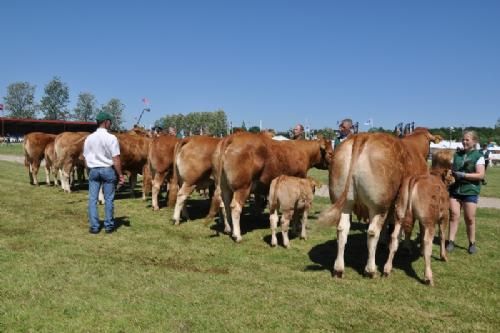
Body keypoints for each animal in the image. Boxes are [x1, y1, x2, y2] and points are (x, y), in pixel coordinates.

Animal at [318, 127, 440, 278]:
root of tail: (363, 136)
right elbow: (409, 226)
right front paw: (407, 247)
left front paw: (384, 241)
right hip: (378, 206)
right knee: (372, 232)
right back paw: (370, 269)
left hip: (345, 202)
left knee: (342, 229)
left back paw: (339, 268)